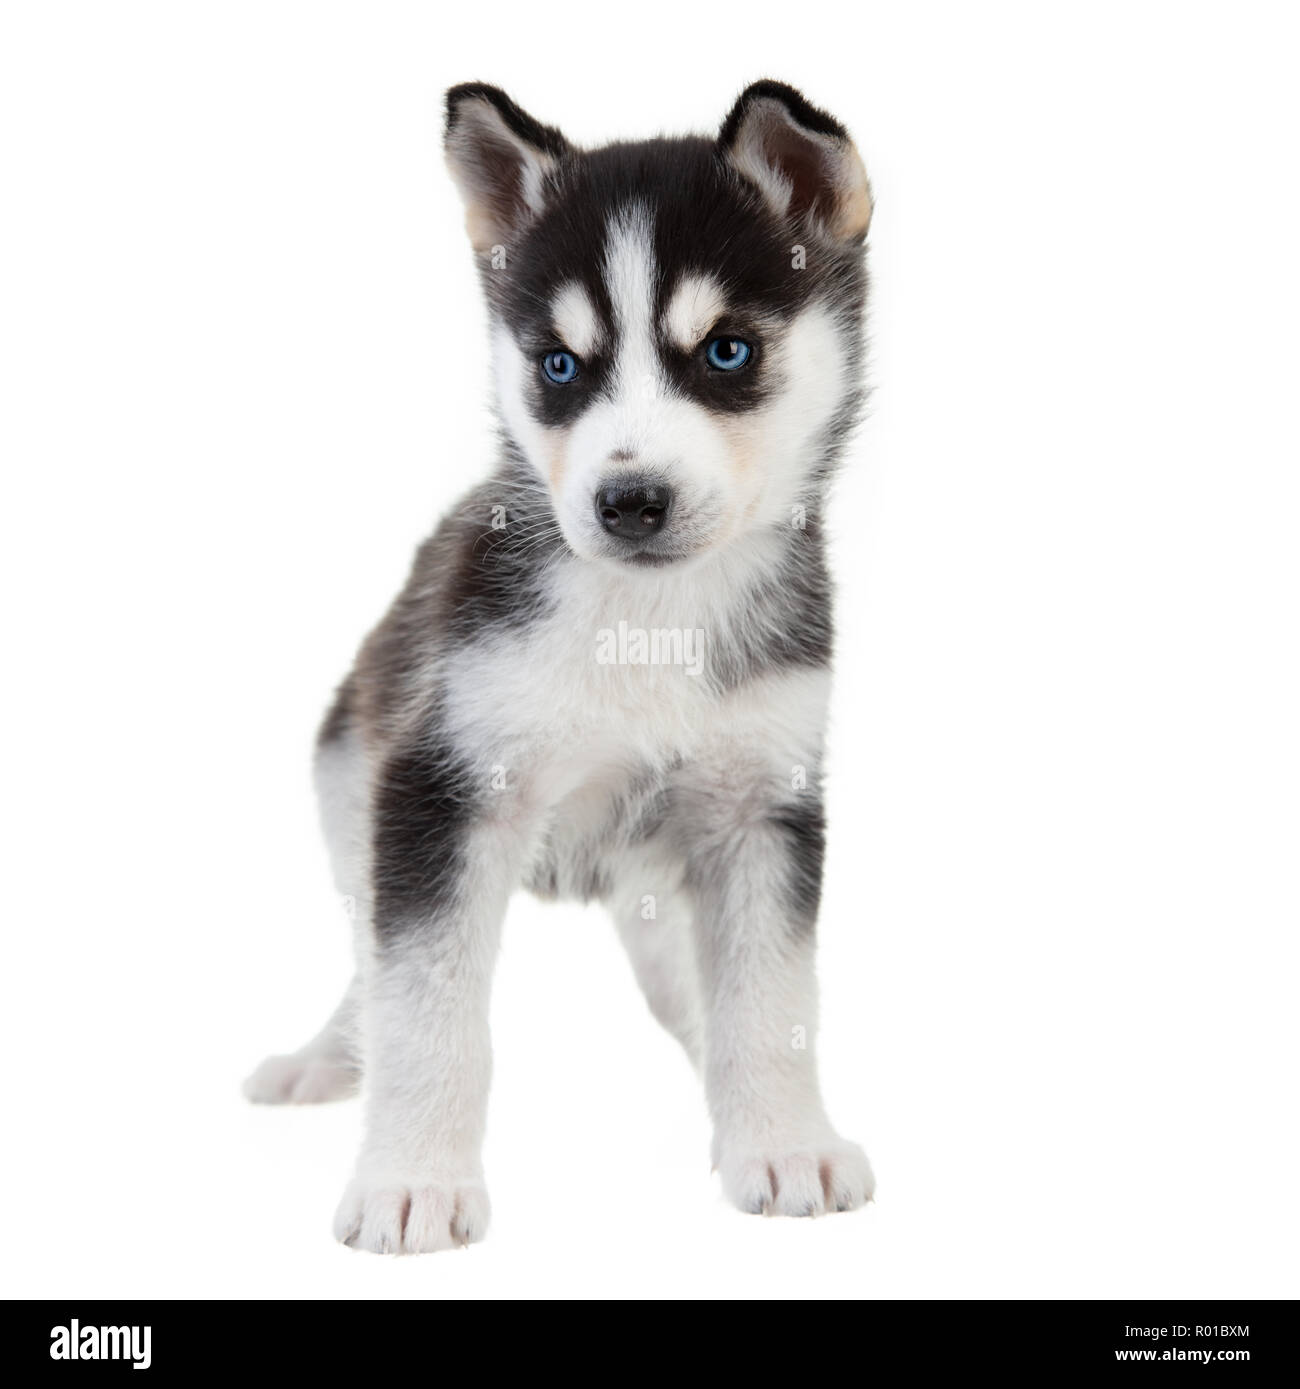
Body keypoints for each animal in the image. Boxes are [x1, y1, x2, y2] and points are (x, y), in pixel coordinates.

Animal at [245, 78, 872, 1261]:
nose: (627, 503)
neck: (647, 621)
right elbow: (425, 1005)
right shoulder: (441, 790)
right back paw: (327, 1057)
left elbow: (771, 998)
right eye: (559, 366)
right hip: (351, 790)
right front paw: (412, 1181)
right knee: (367, 963)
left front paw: (782, 1146)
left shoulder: (765, 805)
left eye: (726, 352)